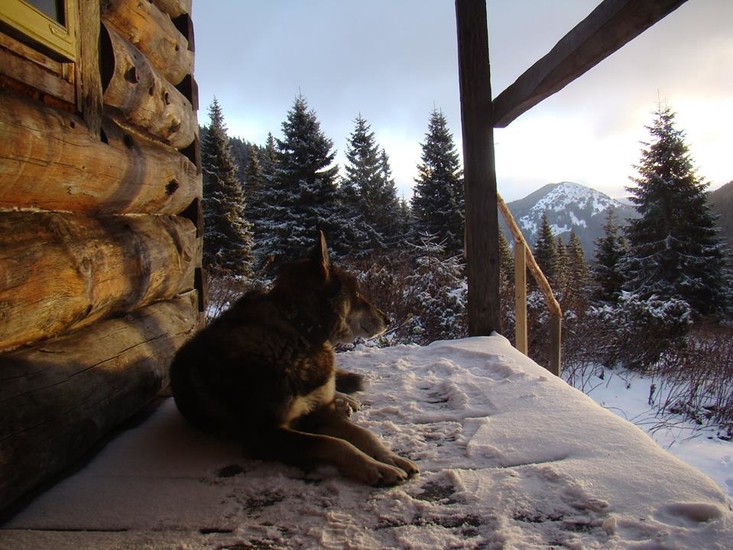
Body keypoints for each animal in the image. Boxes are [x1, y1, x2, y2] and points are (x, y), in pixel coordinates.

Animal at [167, 232, 418, 488]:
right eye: (357, 294)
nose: (388, 320)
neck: (299, 332)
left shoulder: (320, 413)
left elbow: (364, 435)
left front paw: (391, 458)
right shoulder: (264, 434)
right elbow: (335, 443)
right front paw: (376, 468)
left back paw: (345, 399)